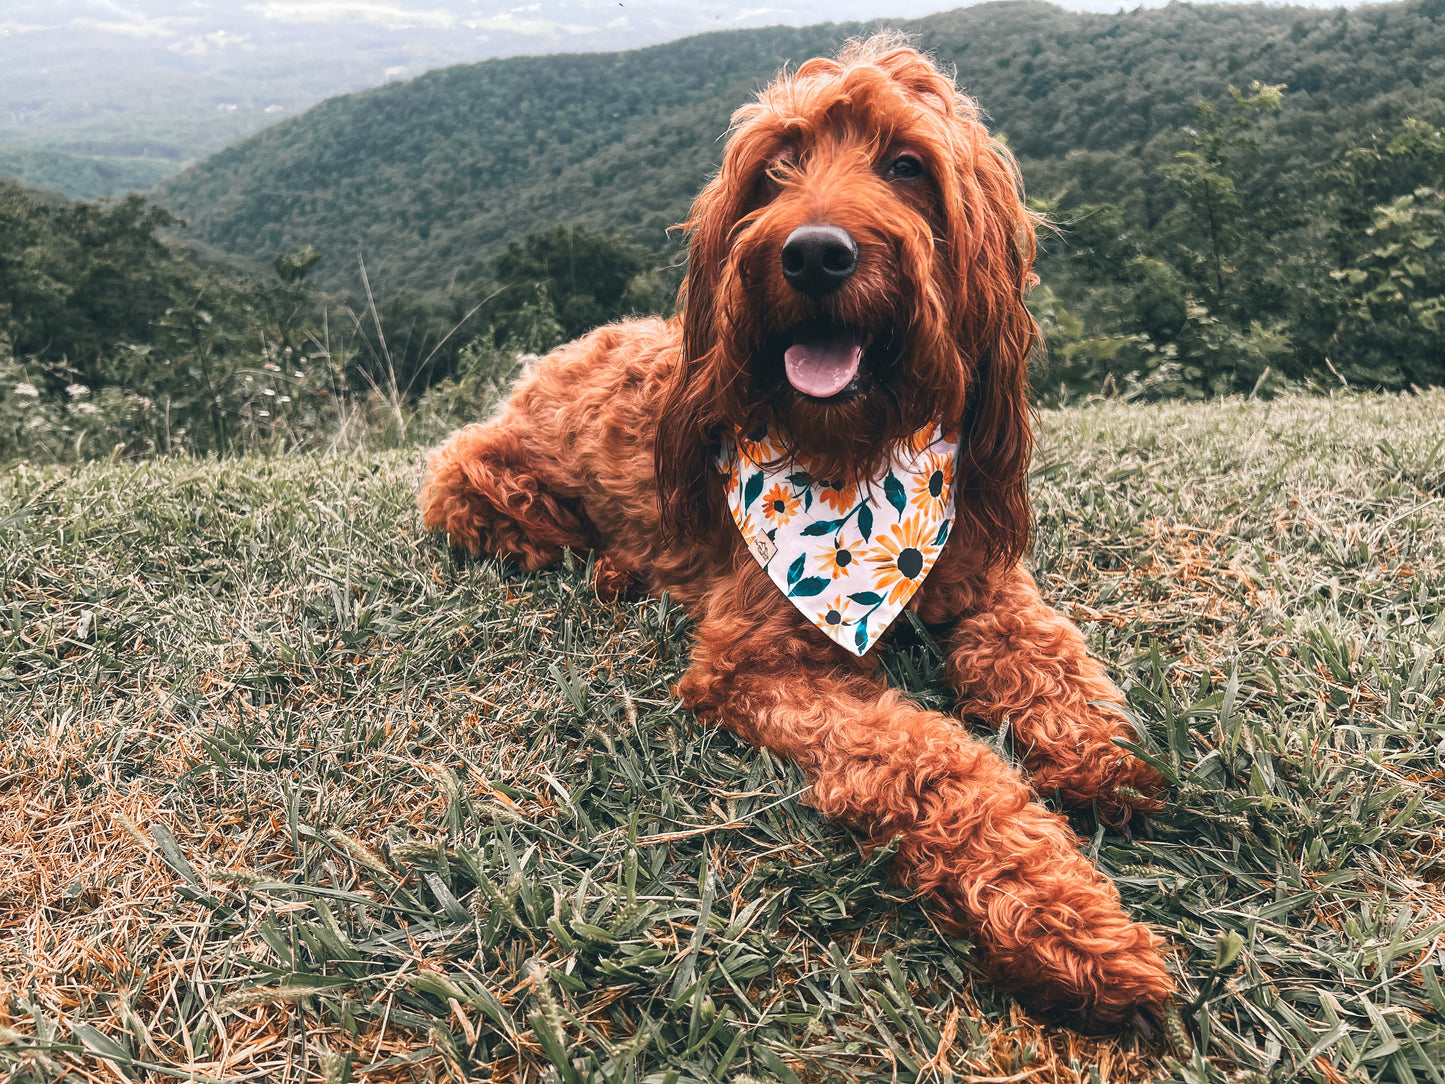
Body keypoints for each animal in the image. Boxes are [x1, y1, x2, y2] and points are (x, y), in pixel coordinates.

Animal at [419, 36, 1173, 1029]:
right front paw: (1066, 922)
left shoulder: (983, 578)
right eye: (775, 169)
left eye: (906, 166)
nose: (813, 254)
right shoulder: (756, 662)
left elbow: (1047, 658)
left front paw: (1095, 756)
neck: (863, 458)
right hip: (479, 477)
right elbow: (931, 756)